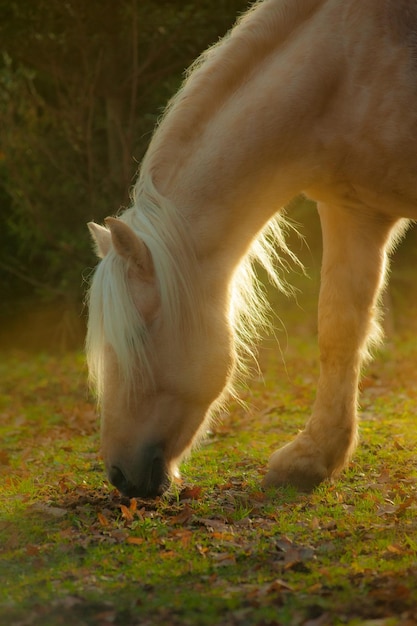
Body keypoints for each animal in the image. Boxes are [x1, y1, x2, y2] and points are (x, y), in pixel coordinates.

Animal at [86, 1, 414, 498]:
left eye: (138, 335)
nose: (121, 477)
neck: (342, 70)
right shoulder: (355, 209)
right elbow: (339, 329)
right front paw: (312, 460)